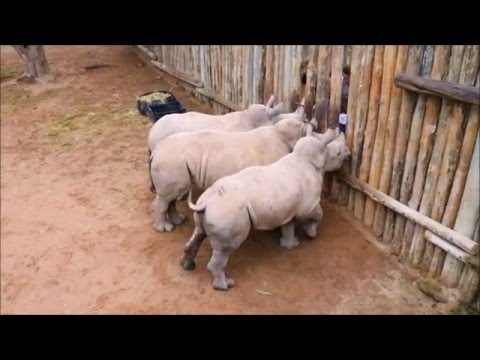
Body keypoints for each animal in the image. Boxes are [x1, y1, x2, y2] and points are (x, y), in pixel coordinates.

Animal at [150, 105, 316, 232]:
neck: (282, 134)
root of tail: (156, 151)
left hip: (171, 160)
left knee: (172, 195)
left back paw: (178, 220)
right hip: (169, 161)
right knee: (167, 196)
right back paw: (165, 229)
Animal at [183, 129, 338, 290]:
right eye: (330, 153)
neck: (309, 159)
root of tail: (206, 202)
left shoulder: (288, 207)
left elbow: (288, 226)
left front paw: (291, 244)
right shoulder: (308, 205)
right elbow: (318, 214)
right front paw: (311, 234)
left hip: (209, 209)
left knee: (199, 233)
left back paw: (188, 266)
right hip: (226, 213)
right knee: (225, 249)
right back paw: (226, 285)